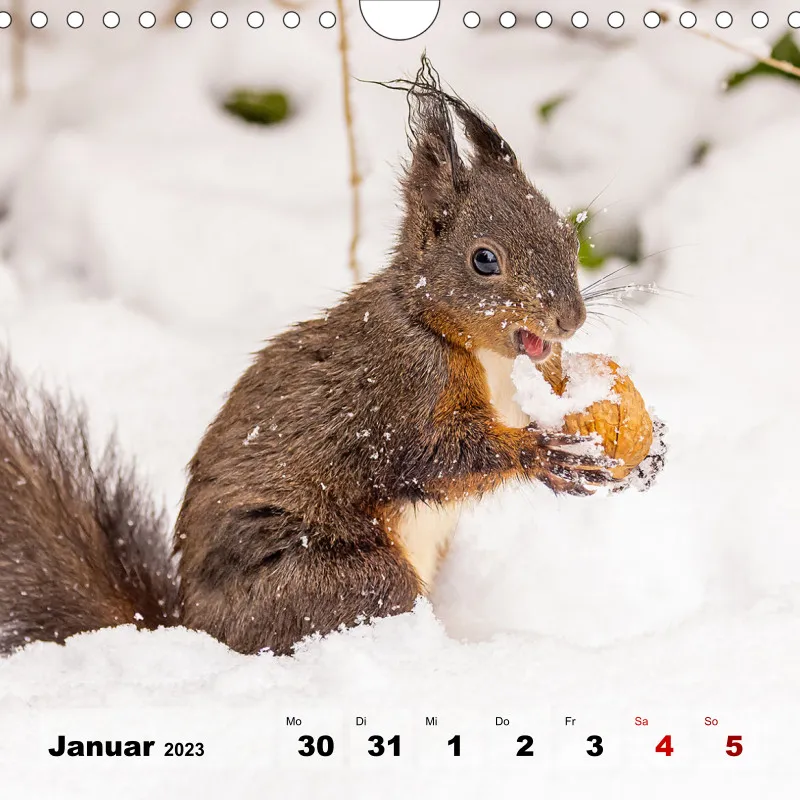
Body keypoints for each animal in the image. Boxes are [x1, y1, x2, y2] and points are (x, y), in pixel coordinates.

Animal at [0, 57, 615, 657]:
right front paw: (538, 454)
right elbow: (436, 456)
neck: (472, 348)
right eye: (484, 260)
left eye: (566, 235)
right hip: (330, 573)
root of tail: (191, 627)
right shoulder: (403, 385)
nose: (570, 319)